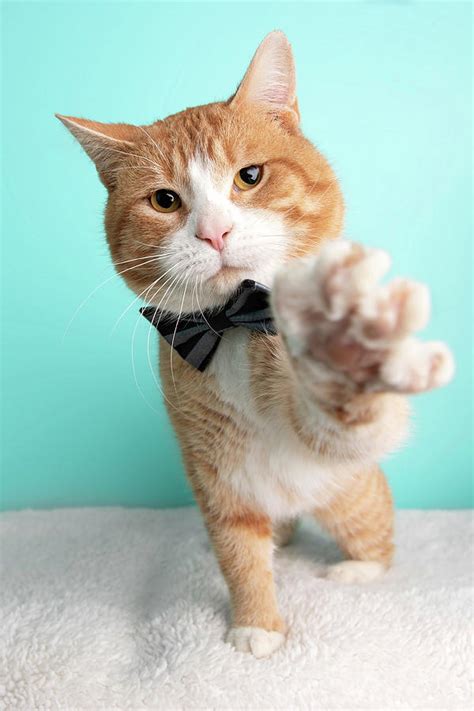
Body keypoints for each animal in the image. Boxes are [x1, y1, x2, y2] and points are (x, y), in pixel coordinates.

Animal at [57, 32, 454, 656]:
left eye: (249, 177)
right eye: (165, 201)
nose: (214, 232)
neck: (233, 327)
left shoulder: (320, 426)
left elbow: (340, 416)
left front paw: (350, 348)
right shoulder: (214, 470)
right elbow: (238, 548)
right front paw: (256, 623)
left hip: (350, 496)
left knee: (377, 536)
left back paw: (354, 568)